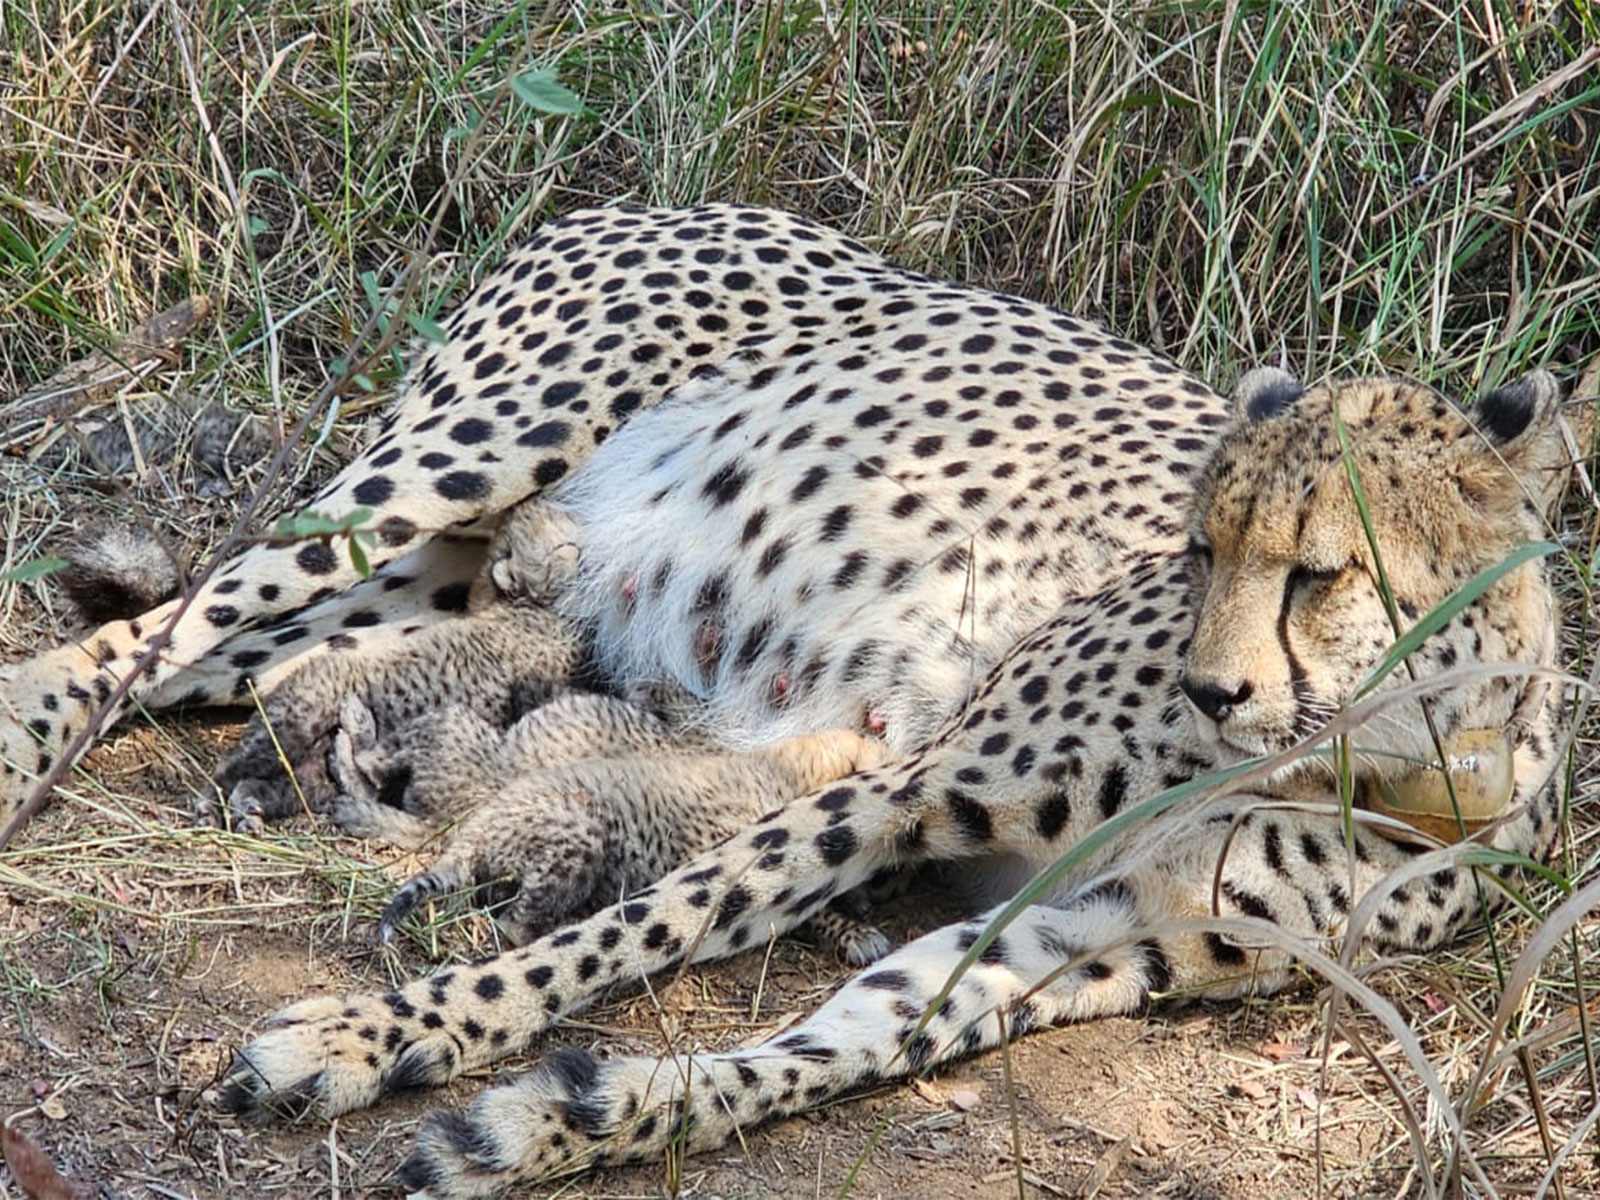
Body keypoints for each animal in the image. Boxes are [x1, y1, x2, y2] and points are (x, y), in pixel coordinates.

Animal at [0, 204, 1574, 1197]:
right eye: (1199, 549)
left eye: (1319, 573)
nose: (1212, 680)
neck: (1383, 754)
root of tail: (651, 197)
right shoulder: (905, 787)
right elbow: (641, 928)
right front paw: (369, 1038)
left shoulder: (1098, 934)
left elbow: (846, 1044)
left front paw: (569, 1122)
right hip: (450, 465)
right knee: (144, 633)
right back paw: (25, 746)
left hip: (447, 590)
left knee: (235, 660)